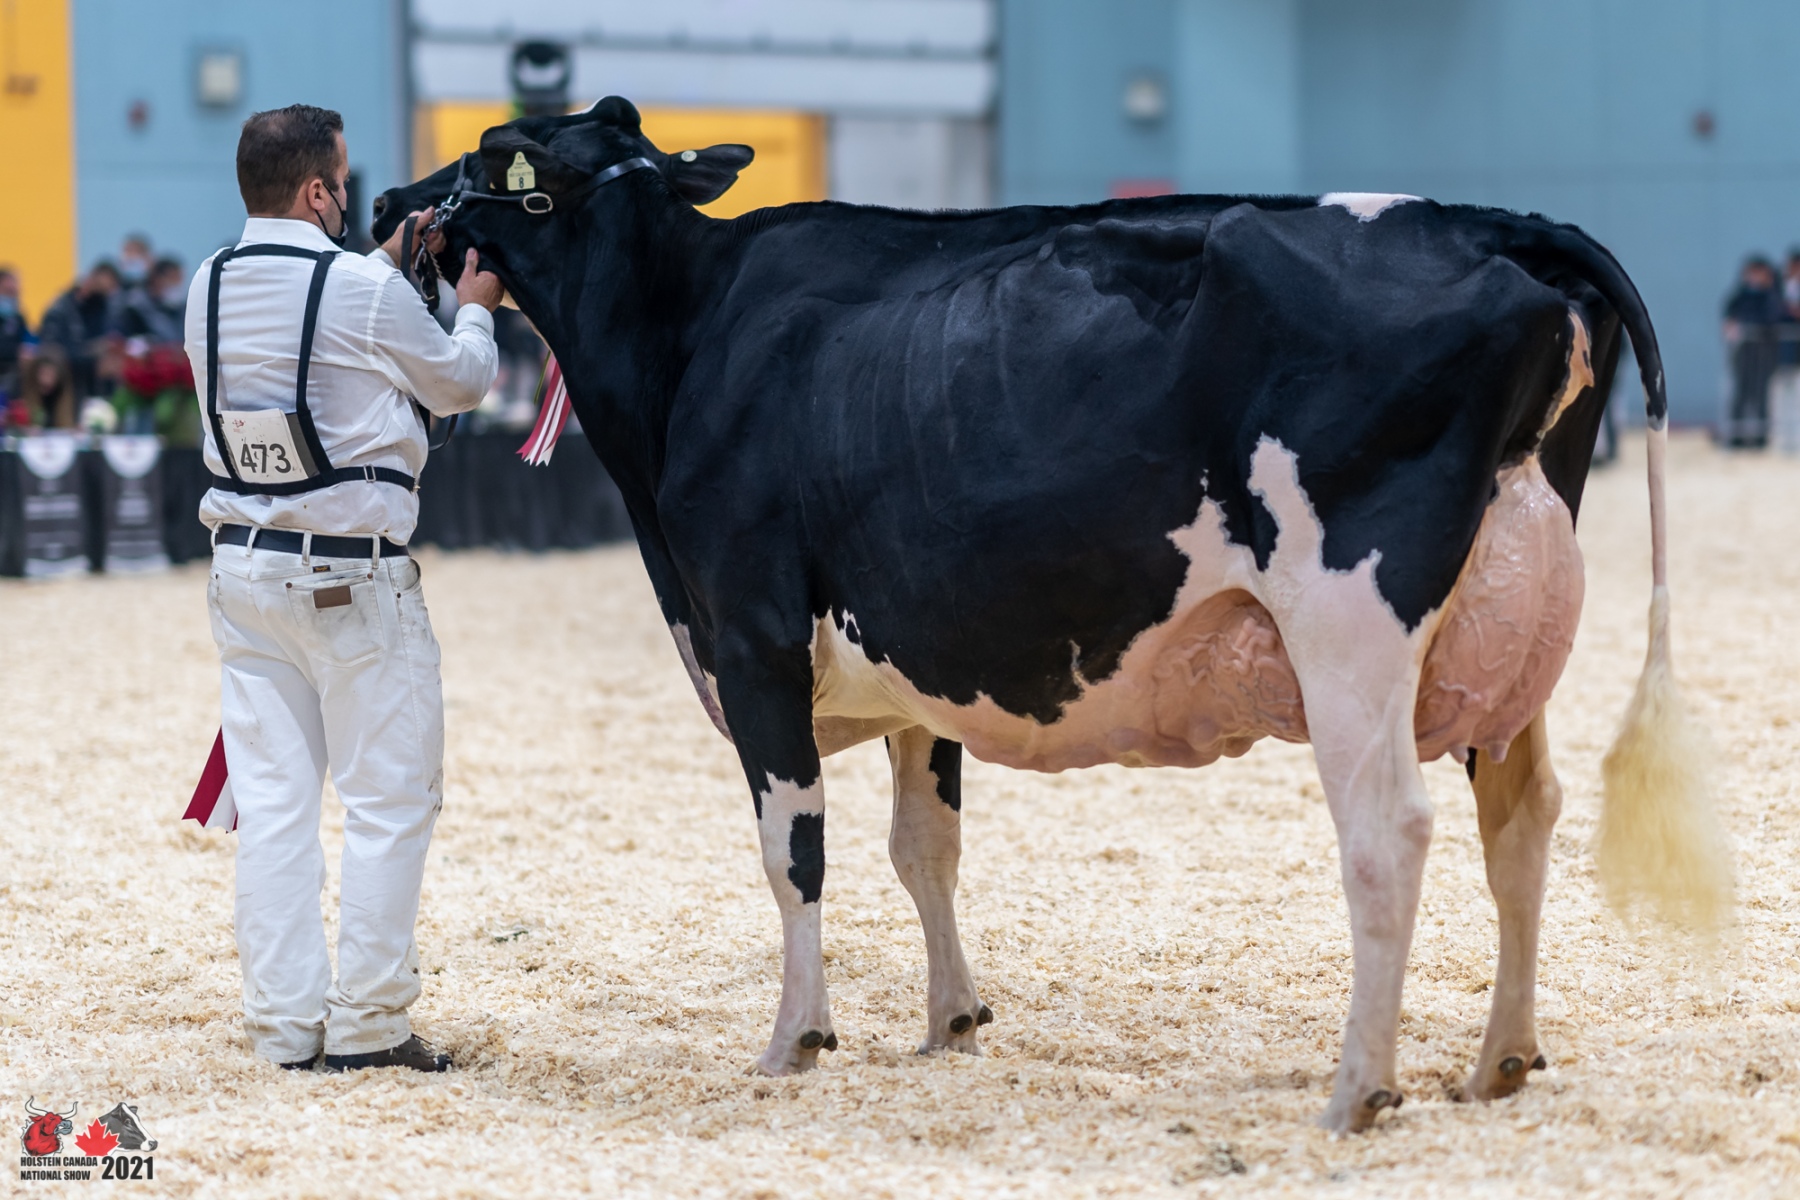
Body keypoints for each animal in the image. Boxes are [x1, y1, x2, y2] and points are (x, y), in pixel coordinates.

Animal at [374, 98, 1731, 1132]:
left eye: (493, 157)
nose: (391, 198)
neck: (687, 334)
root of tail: (1497, 223)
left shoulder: (753, 634)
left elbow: (794, 848)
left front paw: (795, 1040)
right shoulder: (915, 658)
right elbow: (924, 845)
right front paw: (951, 1022)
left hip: (1353, 617)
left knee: (1388, 833)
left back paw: (1358, 1090)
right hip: (1504, 625)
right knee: (1523, 817)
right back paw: (1498, 1062)